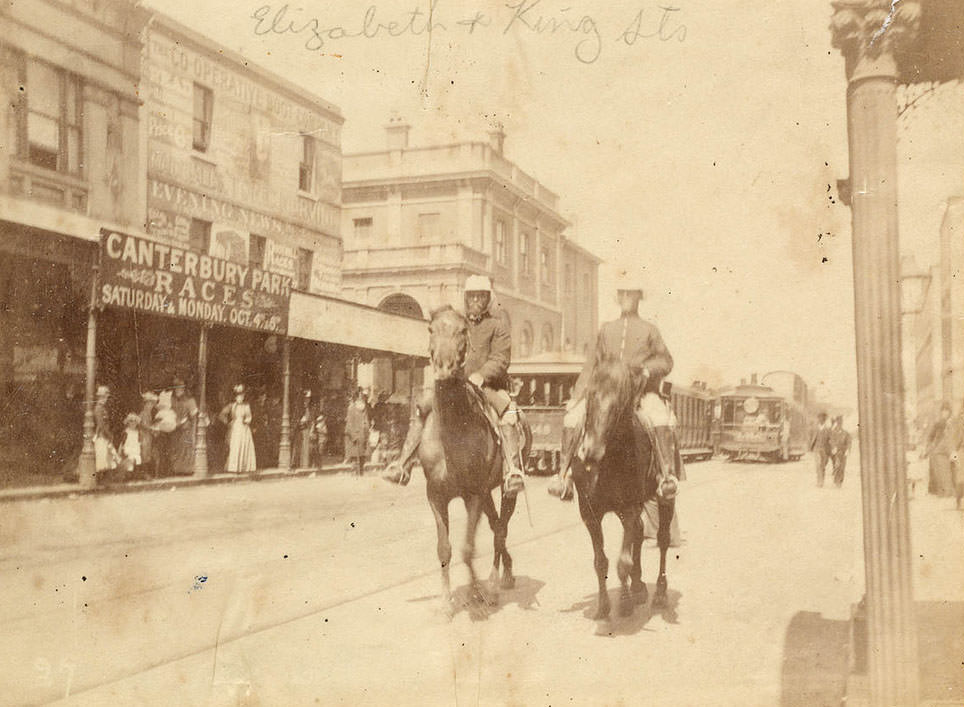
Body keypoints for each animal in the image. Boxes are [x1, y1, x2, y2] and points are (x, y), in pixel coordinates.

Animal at [420, 306, 532, 616]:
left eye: (462, 331)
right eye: (431, 329)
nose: (443, 368)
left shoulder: (473, 496)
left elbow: (467, 549)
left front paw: (476, 594)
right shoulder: (436, 496)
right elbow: (444, 549)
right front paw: (445, 603)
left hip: (503, 491)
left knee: (500, 531)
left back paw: (493, 587)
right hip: (487, 495)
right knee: (496, 529)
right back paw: (505, 574)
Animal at [572, 360, 676, 620]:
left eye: (620, 402)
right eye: (590, 395)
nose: (590, 451)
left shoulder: (629, 507)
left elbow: (623, 563)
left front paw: (625, 603)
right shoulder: (590, 513)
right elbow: (601, 561)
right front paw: (603, 606)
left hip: (665, 499)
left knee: (662, 539)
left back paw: (659, 594)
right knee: (639, 533)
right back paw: (639, 587)